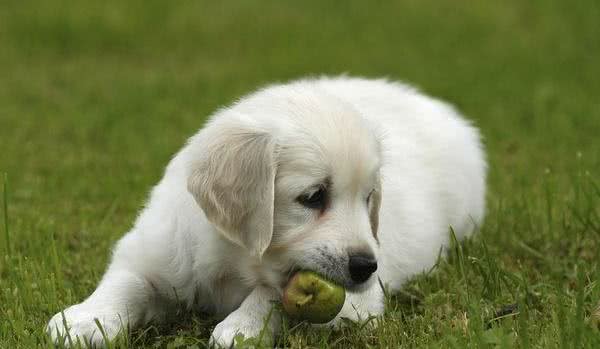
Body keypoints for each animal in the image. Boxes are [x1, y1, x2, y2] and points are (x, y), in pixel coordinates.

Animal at [48, 76, 488, 346]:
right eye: (313, 197)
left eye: (368, 199)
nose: (367, 267)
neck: (235, 260)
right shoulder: (155, 247)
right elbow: (127, 281)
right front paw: (85, 319)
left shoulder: (356, 305)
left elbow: (273, 294)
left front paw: (241, 328)